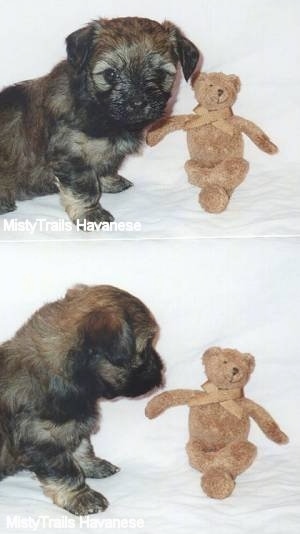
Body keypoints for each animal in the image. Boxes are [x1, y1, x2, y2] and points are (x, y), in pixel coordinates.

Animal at [0, 16, 200, 226]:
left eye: (160, 74)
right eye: (110, 74)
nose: (137, 103)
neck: (99, 110)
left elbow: (107, 165)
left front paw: (110, 181)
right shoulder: (71, 154)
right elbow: (84, 188)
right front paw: (90, 214)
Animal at [0, 286, 164, 516]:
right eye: (145, 349)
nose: (161, 370)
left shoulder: (74, 424)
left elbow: (81, 446)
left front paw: (93, 465)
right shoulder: (43, 437)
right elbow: (65, 470)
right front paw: (82, 497)